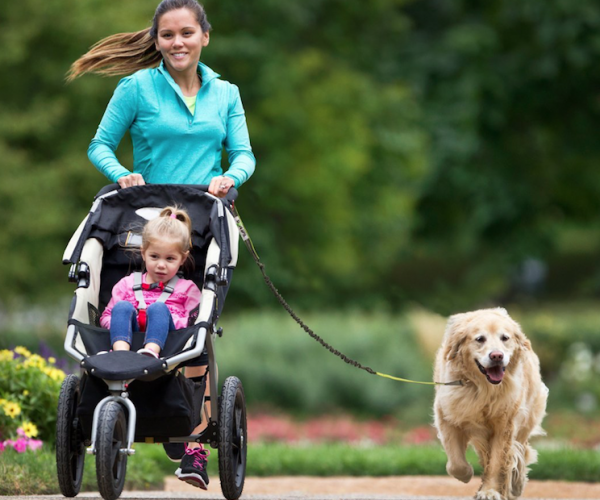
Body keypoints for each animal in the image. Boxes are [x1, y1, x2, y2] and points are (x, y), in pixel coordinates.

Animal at [434, 308, 548, 500]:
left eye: (505, 338)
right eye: (480, 339)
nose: (497, 355)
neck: (483, 389)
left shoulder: (504, 426)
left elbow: (497, 462)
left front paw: (489, 491)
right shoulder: (446, 416)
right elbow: (456, 462)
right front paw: (466, 474)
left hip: (525, 422)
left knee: (521, 451)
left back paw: (515, 485)